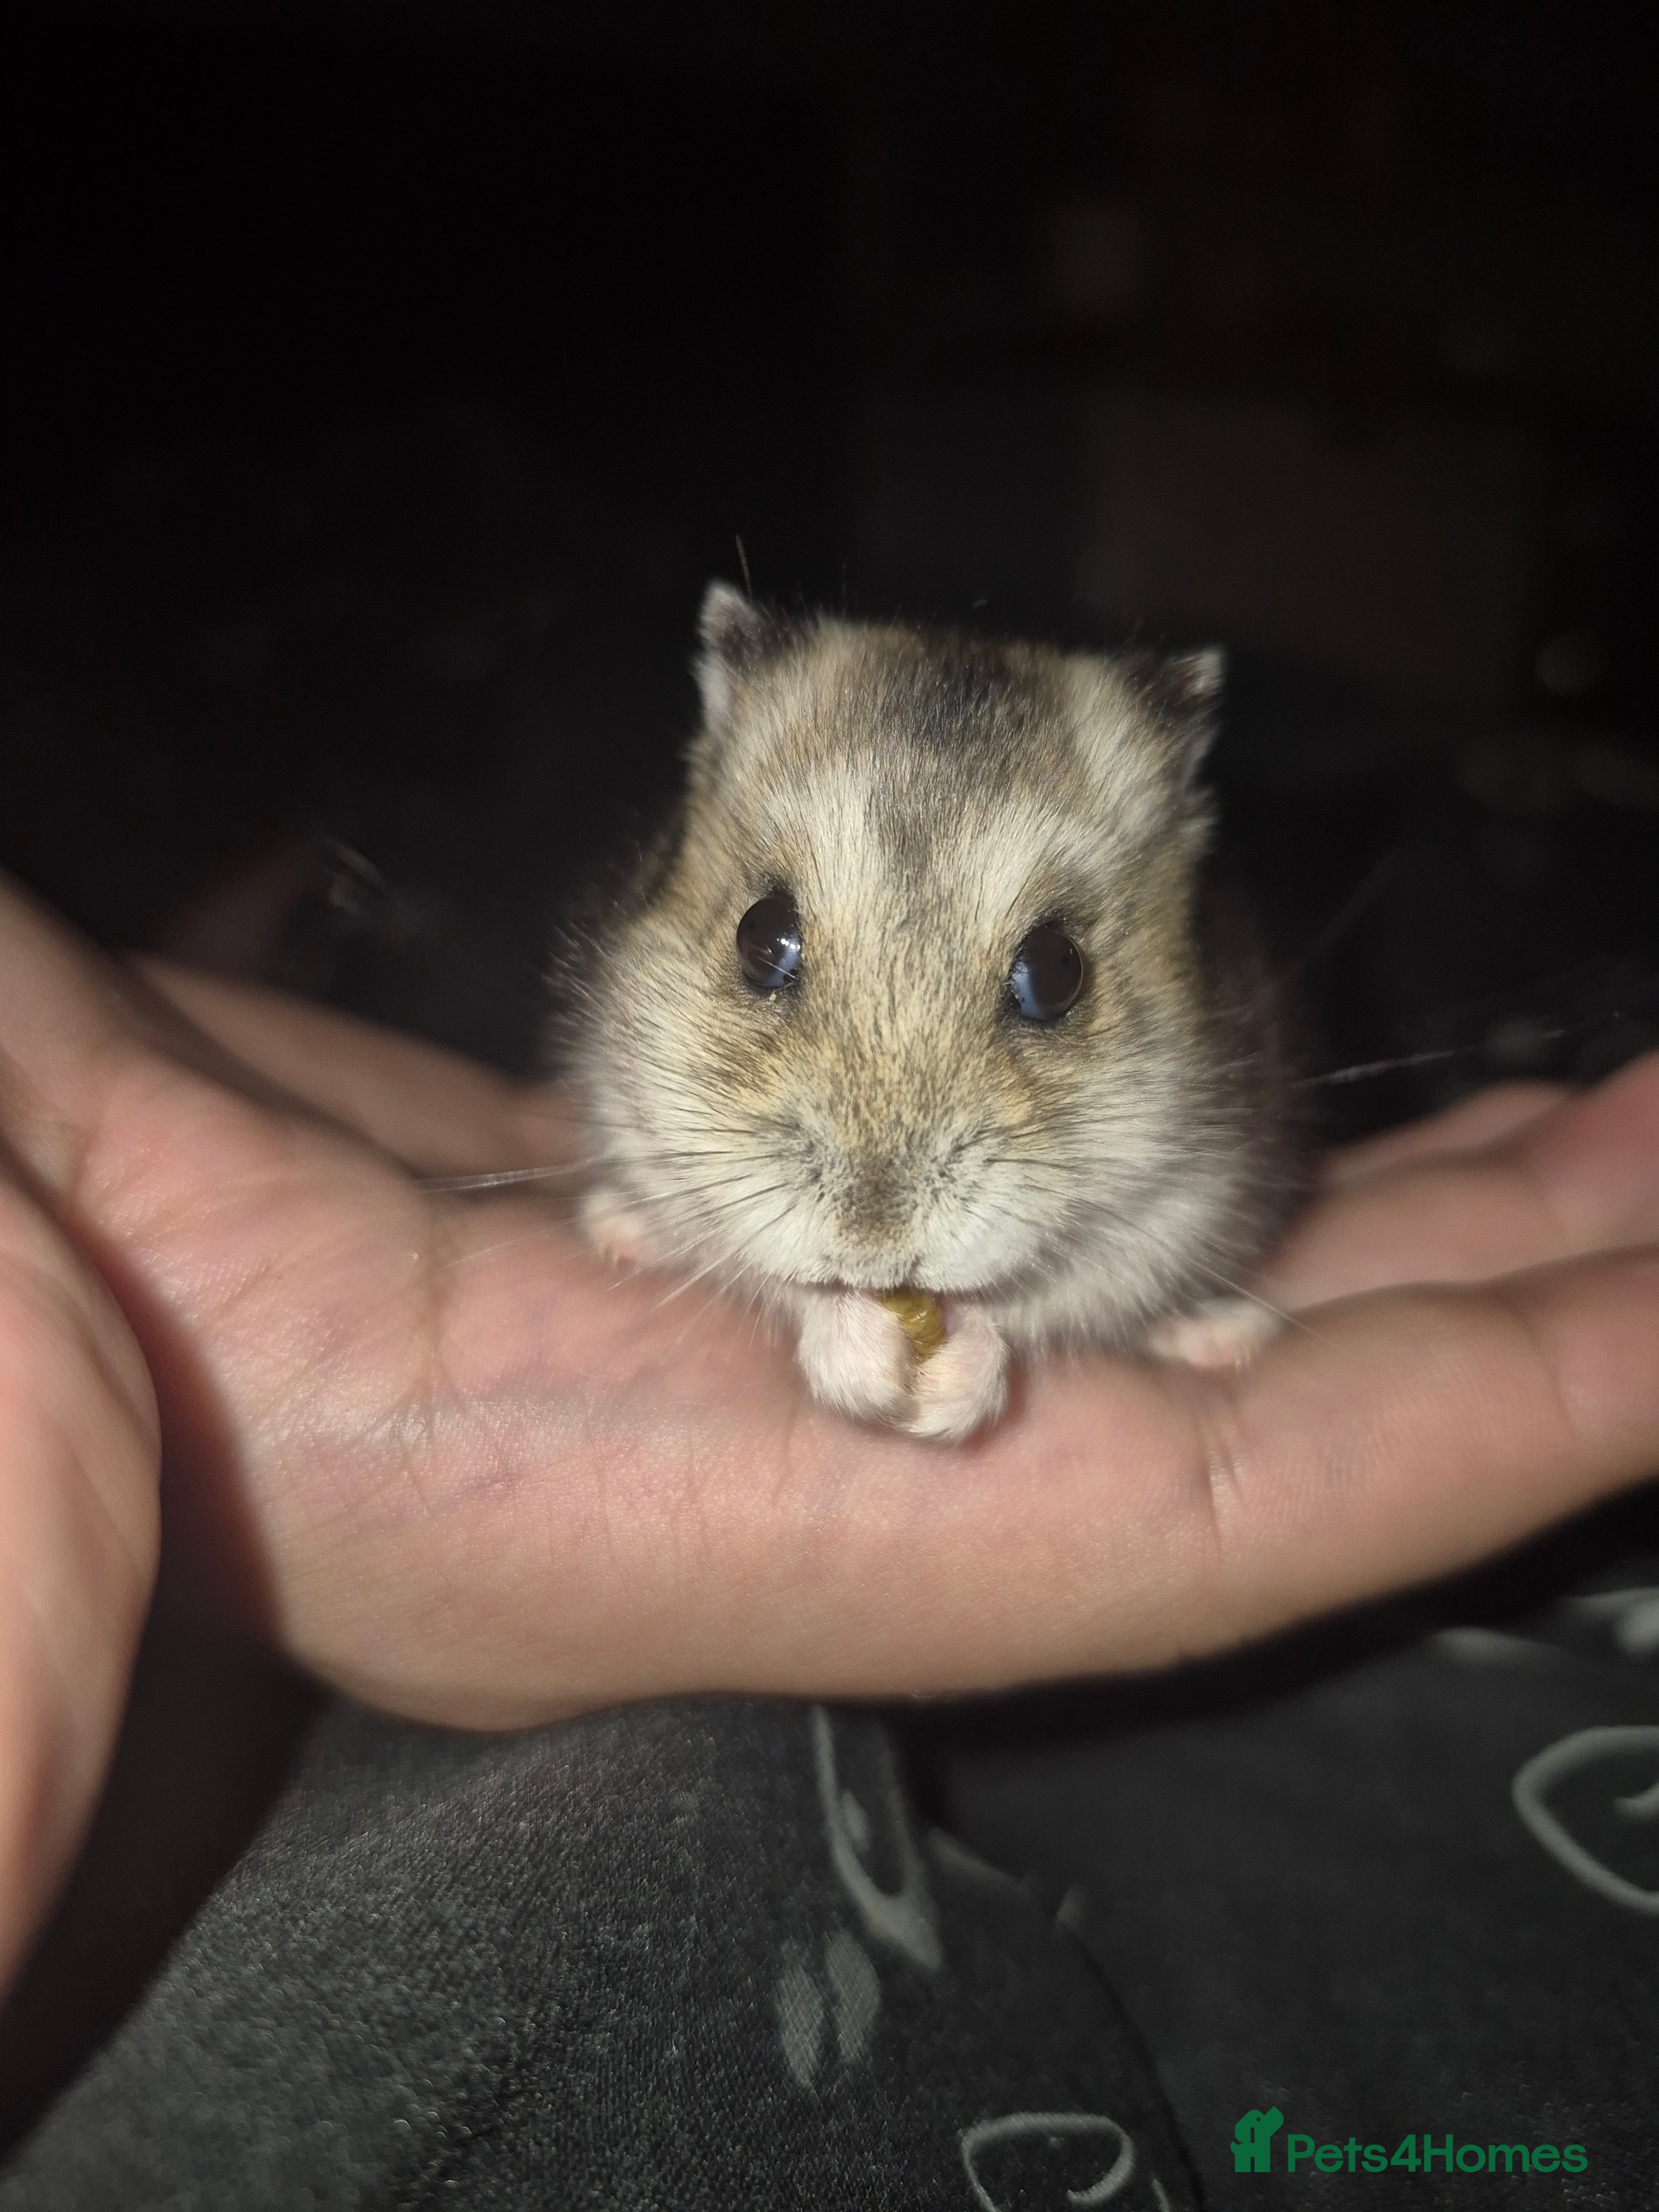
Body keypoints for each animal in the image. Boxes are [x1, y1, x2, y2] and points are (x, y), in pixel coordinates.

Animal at [559, 583, 1299, 1442]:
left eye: (1056, 972)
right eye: (761, 935)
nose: (874, 1250)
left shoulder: (1182, 1199)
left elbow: (1040, 1305)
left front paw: (946, 1390)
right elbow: (777, 1279)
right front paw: (869, 1361)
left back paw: (1226, 1335)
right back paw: (617, 1228)